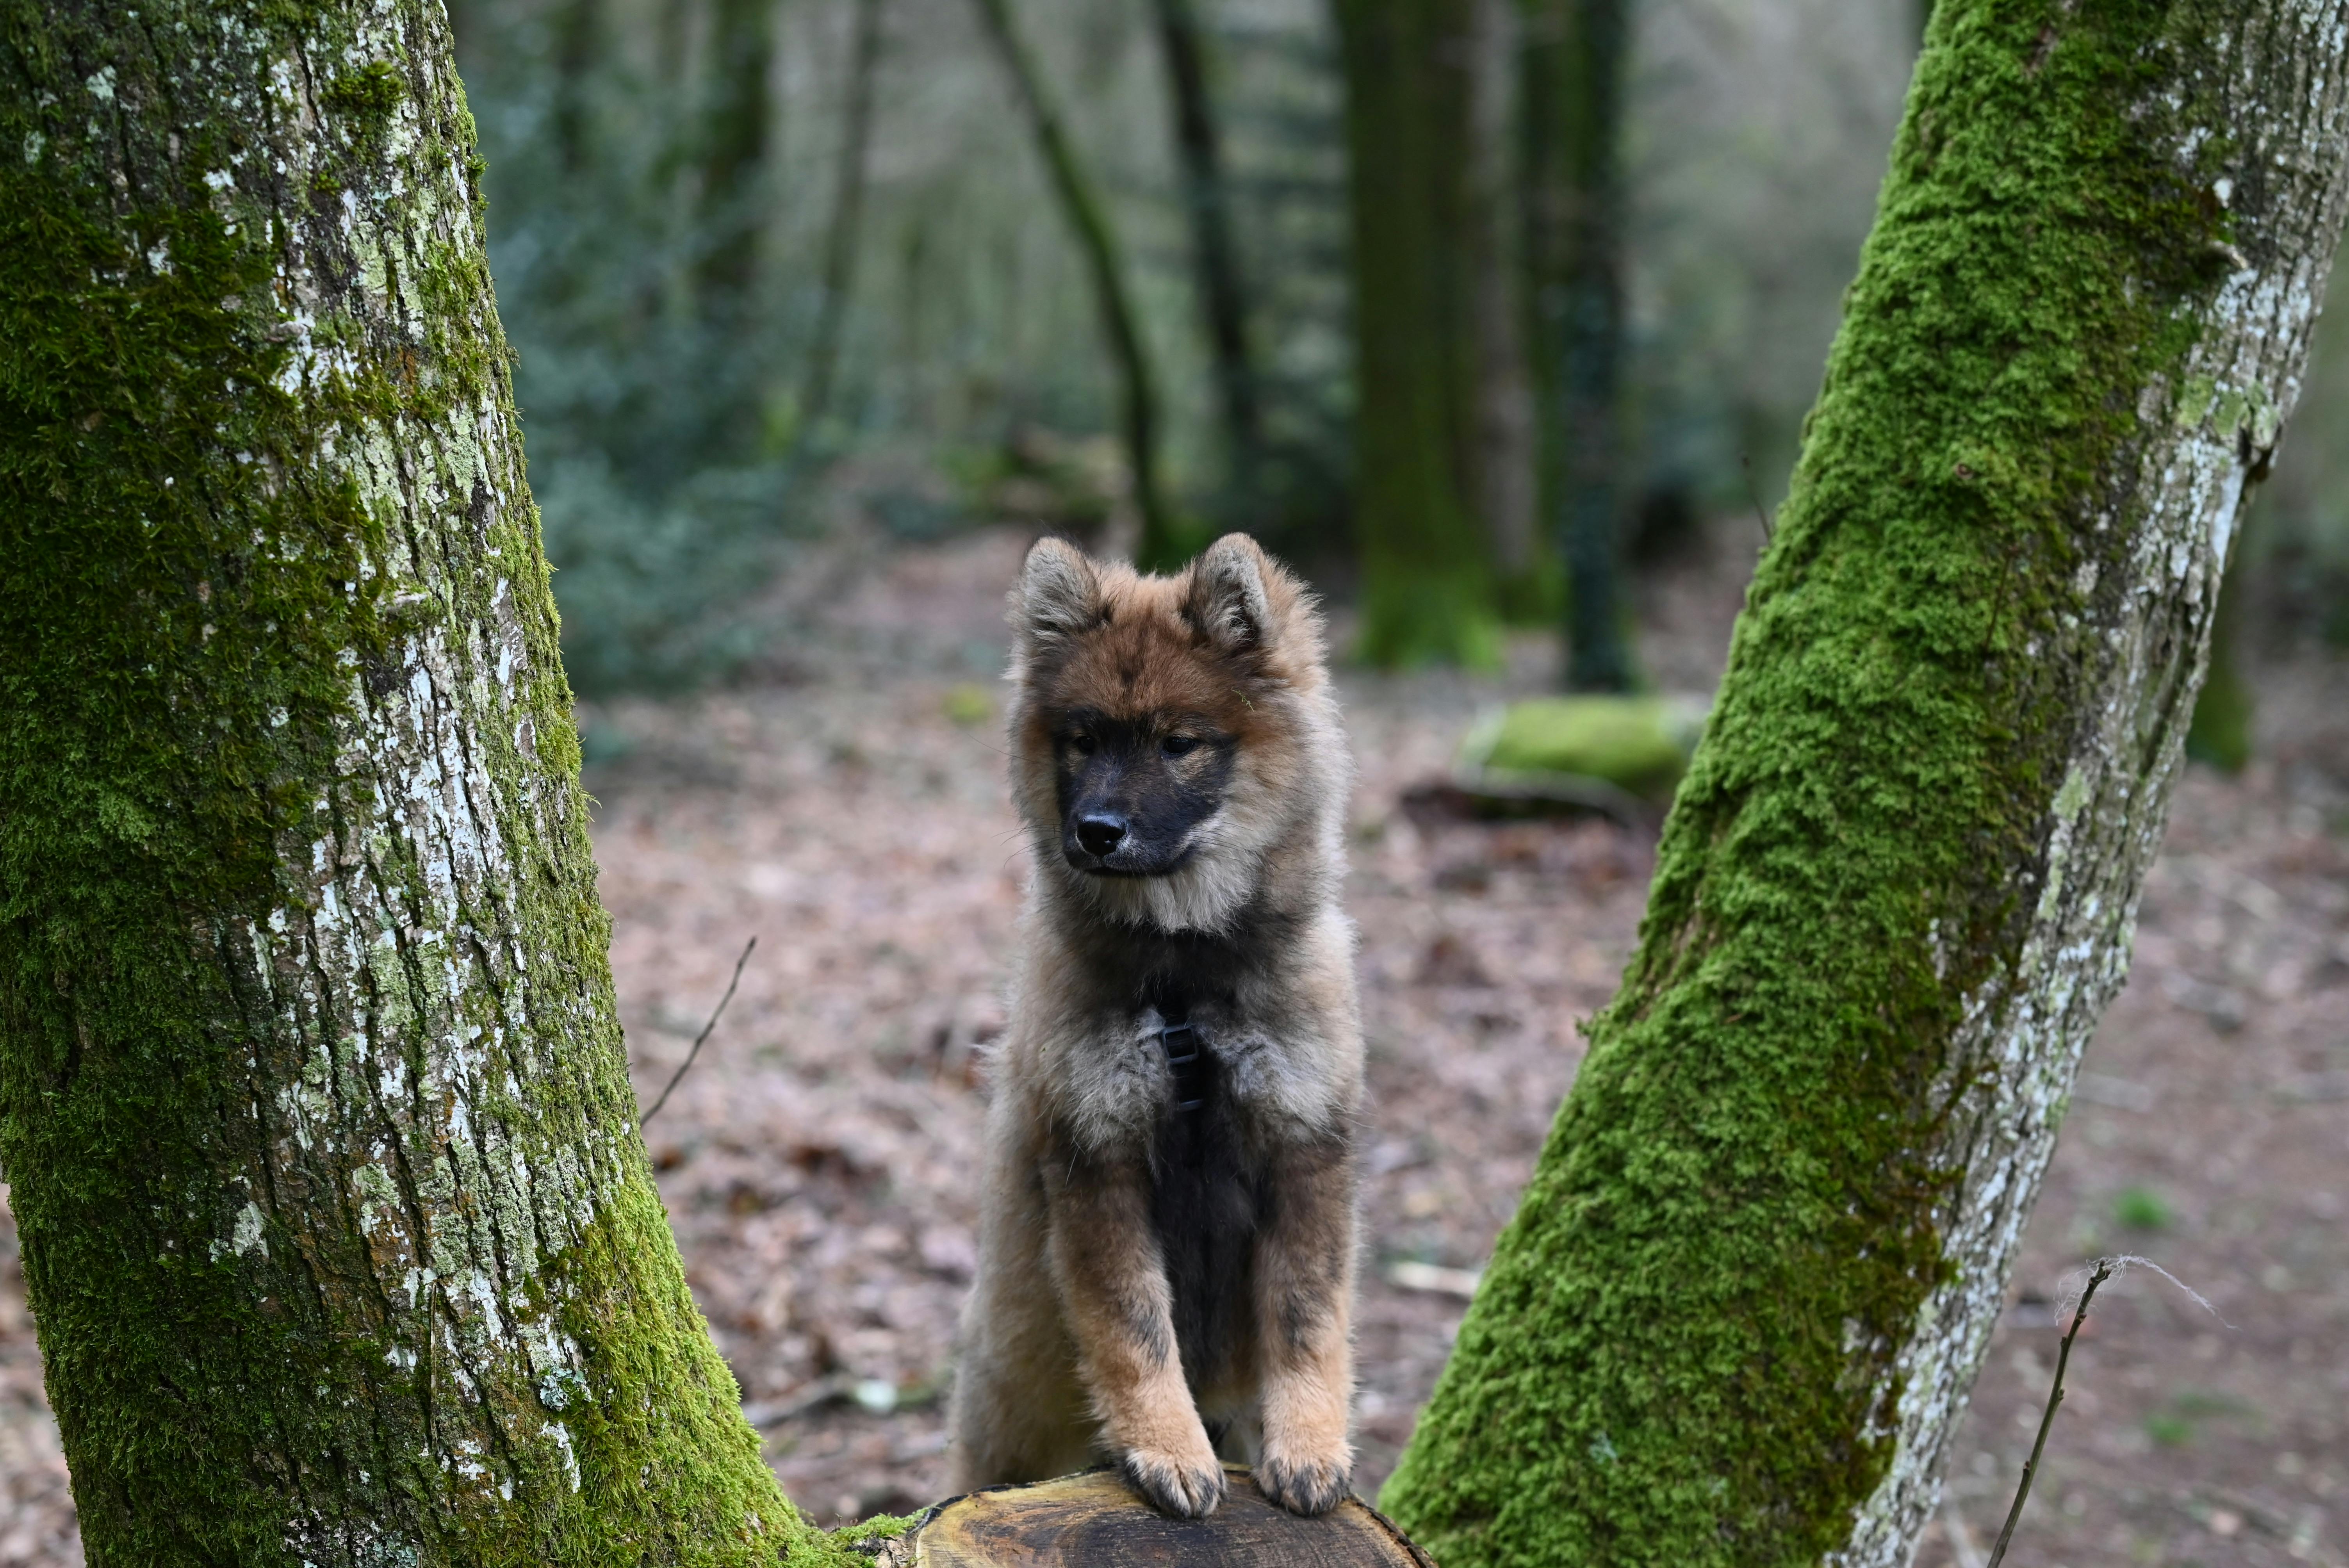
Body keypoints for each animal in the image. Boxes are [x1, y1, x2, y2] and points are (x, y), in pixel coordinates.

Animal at [944, 530, 1372, 1521]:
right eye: (1084, 739)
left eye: (1179, 743)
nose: (1096, 830)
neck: (1182, 979)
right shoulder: (1096, 1157)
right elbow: (1134, 1327)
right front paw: (1167, 1447)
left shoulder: (1305, 1143)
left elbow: (1307, 1318)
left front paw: (1310, 1442)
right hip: (1006, 1430)